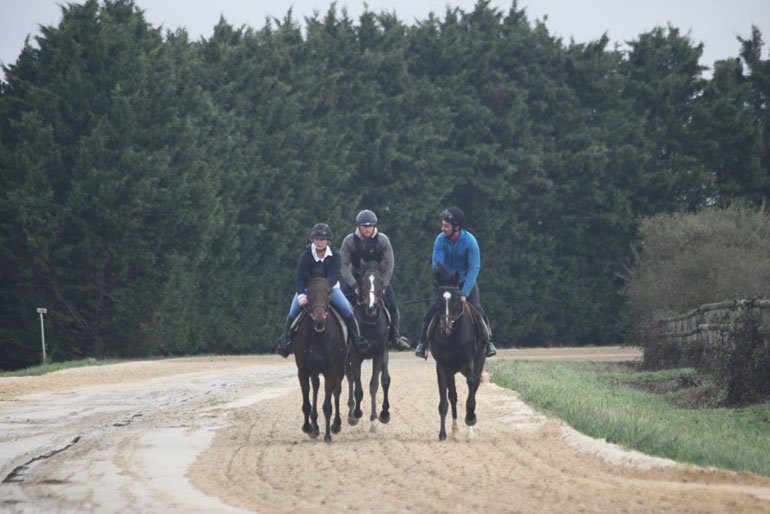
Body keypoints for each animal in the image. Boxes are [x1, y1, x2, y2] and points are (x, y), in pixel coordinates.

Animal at [292, 277, 348, 443]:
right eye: (309, 293)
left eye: (328, 293)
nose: (319, 320)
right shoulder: (303, 371)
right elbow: (306, 402)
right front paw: (308, 427)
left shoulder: (330, 371)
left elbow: (328, 405)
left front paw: (328, 436)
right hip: (314, 371)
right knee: (316, 387)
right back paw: (315, 426)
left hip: (340, 368)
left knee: (336, 391)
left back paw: (336, 425)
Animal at [346, 263, 391, 432]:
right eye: (363, 281)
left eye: (380, 281)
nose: (371, 306)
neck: (370, 321)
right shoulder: (355, 356)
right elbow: (358, 388)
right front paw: (357, 413)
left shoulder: (380, 354)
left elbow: (378, 383)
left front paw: (379, 417)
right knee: (350, 378)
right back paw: (351, 413)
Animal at [427, 266, 487, 441]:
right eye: (439, 300)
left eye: (455, 299)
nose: (445, 328)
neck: (453, 336)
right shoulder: (442, 366)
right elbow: (444, 401)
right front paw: (442, 434)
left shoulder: (469, 364)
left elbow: (471, 390)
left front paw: (470, 419)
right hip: (451, 371)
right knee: (453, 396)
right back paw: (454, 429)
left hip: (479, 362)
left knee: (473, 389)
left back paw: (469, 430)